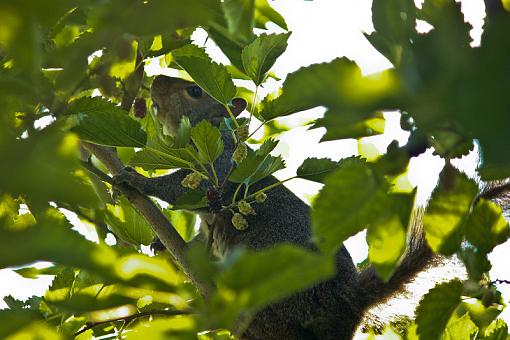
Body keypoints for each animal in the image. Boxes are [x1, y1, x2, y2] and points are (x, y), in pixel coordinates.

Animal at [114, 75, 434, 340]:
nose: (156, 80)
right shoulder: (209, 225)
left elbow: (179, 187)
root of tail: (349, 301)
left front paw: (138, 180)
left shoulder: (218, 169)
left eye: (194, 91)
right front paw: (162, 244)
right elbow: (200, 242)